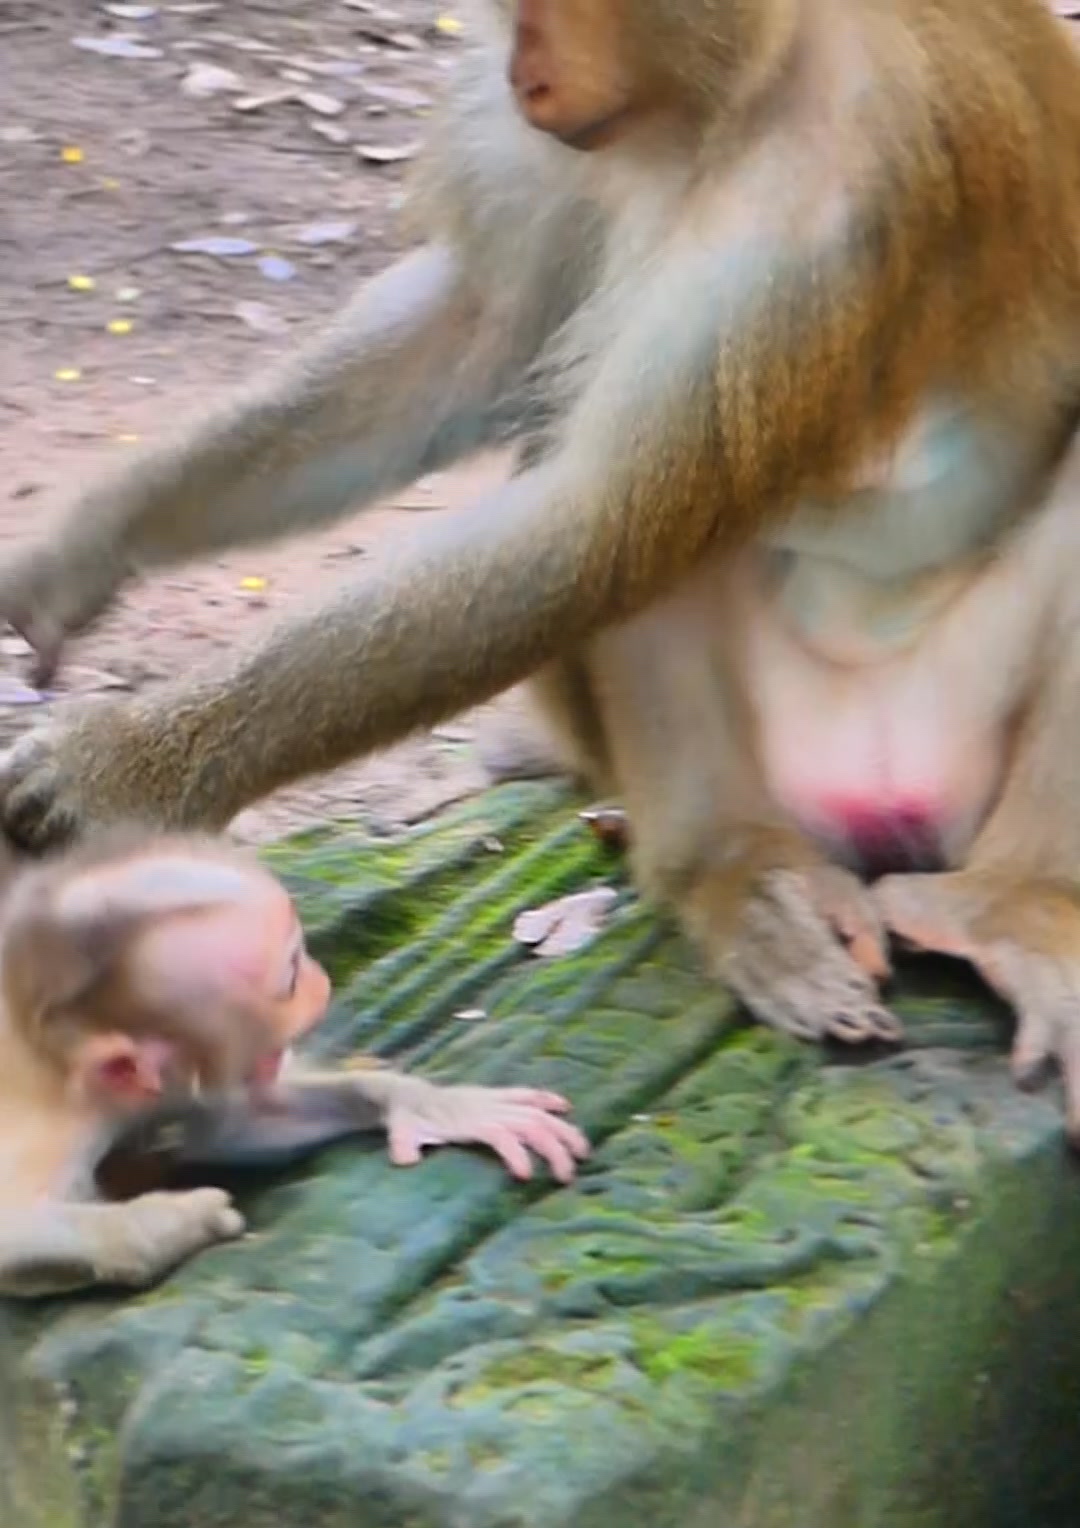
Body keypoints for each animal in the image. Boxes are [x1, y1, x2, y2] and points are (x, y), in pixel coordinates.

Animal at [0, 829, 588, 1298]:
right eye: (289, 977)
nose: (322, 984)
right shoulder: (54, 1126)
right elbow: (16, 1228)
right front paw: (175, 1224)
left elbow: (237, 1124)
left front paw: (431, 1106)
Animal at [1, 1, 1080, 1123]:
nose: (524, 75)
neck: (735, 86)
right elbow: (482, 330)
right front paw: (90, 540)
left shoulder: (830, 192)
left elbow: (594, 516)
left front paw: (124, 769)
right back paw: (732, 873)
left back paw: (1013, 905)